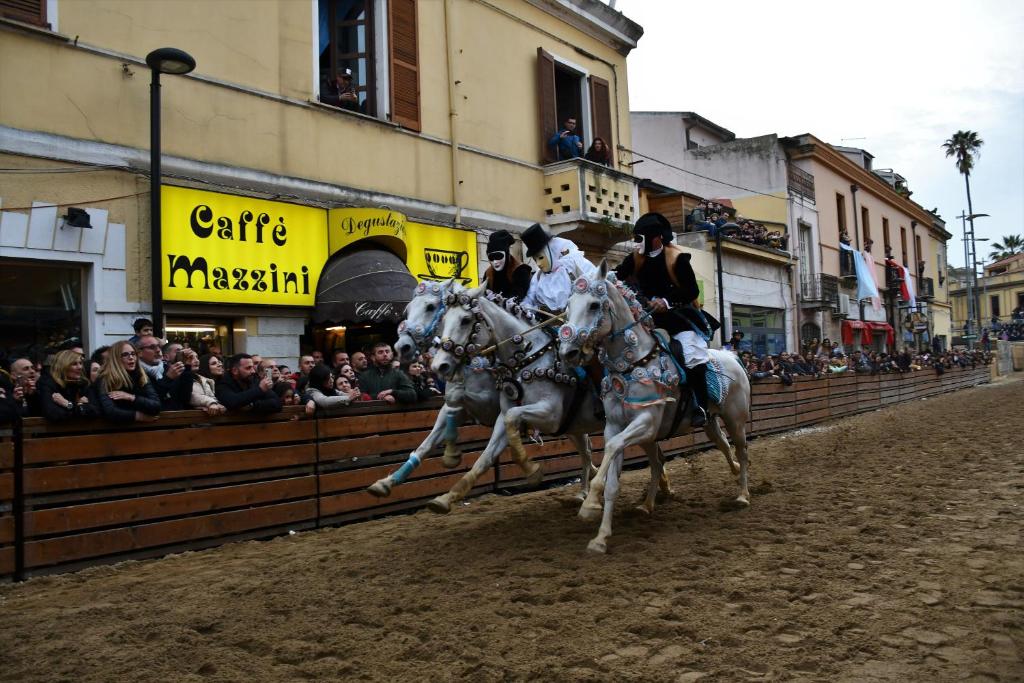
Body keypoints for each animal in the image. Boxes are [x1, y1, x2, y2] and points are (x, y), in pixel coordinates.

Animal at [366, 280, 501, 499]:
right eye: (407, 310)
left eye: (430, 307)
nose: (402, 346)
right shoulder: (452, 409)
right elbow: (426, 445)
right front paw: (386, 482)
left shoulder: (491, 407)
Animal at [423, 282, 598, 511]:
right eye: (443, 321)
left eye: (466, 320)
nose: (439, 366)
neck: (530, 359)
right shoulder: (505, 415)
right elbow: (486, 456)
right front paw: (446, 498)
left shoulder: (551, 415)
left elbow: (513, 418)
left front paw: (532, 471)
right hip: (575, 427)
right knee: (586, 452)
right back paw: (584, 491)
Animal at [561, 264, 753, 557]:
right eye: (568, 305)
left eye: (594, 305)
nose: (568, 352)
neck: (632, 365)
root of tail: (732, 357)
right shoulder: (615, 427)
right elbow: (613, 479)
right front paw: (600, 537)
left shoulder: (645, 423)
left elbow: (611, 452)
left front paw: (590, 504)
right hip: (708, 422)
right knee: (717, 446)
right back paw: (647, 505)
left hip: (735, 420)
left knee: (740, 450)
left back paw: (742, 495)